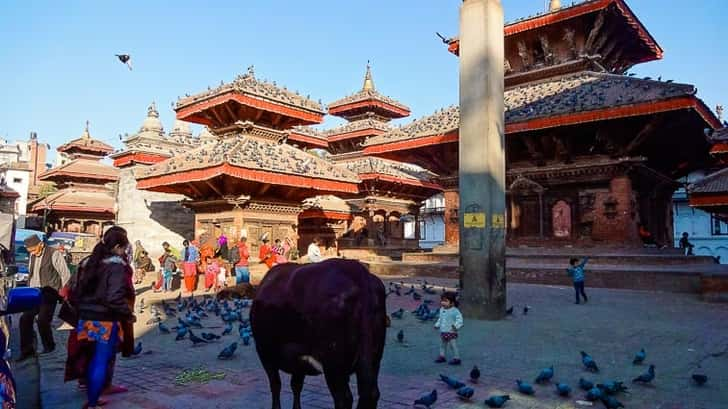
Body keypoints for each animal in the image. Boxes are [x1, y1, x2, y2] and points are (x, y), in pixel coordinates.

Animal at [250, 260, 386, 408]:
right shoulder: (299, 360)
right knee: (371, 393)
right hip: (373, 357)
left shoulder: (264, 351)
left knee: (343, 398)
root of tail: (355, 269)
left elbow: (276, 385)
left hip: (334, 363)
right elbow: (296, 385)